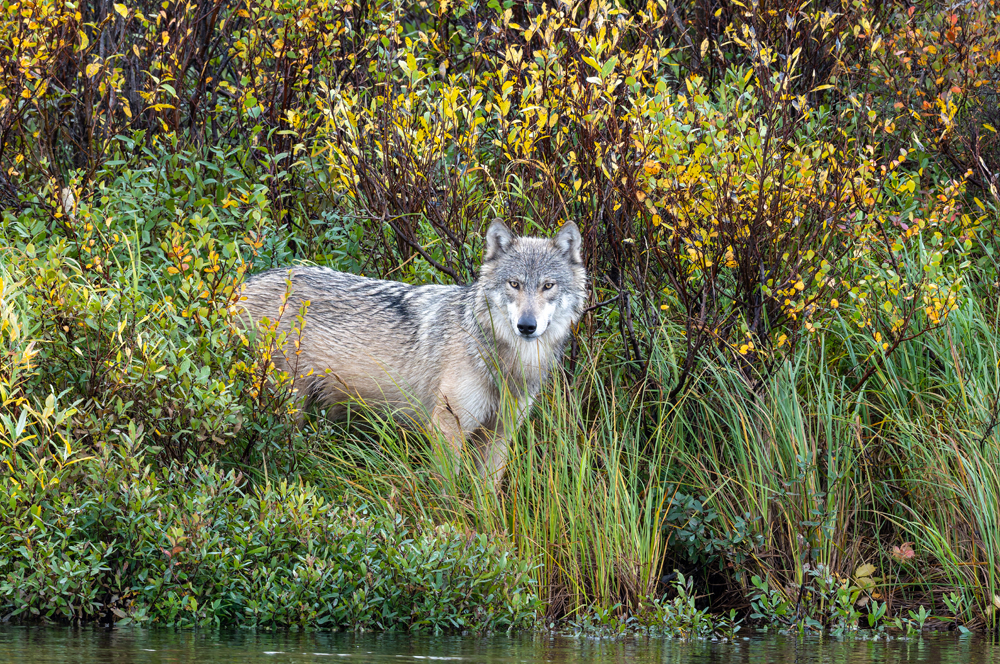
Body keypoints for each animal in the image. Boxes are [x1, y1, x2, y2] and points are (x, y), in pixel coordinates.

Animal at [236, 221, 587, 485]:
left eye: (547, 286)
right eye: (514, 284)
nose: (526, 326)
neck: (505, 364)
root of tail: (239, 288)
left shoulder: (499, 434)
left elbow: (485, 495)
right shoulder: (447, 428)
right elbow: (447, 490)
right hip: (285, 410)